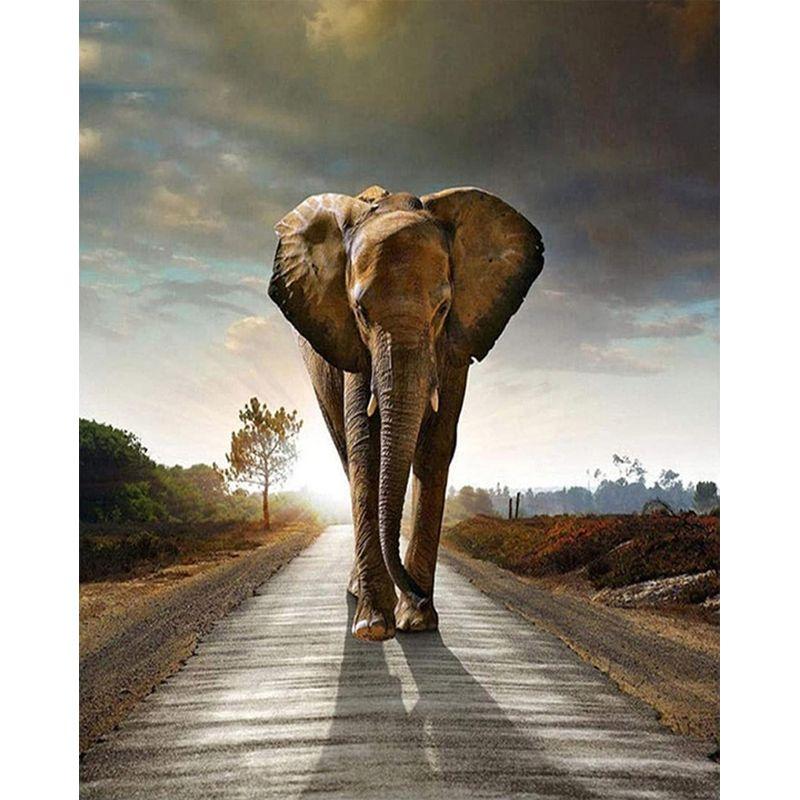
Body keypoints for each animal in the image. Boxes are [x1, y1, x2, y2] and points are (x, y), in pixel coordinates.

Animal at [268, 185, 544, 641]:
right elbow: (366, 446)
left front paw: (416, 622)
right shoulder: (352, 346)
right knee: (346, 455)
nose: (414, 592)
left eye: (443, 309)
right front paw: (374, 627)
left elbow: (436, 446)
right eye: (360, 312)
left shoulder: (455, 344)